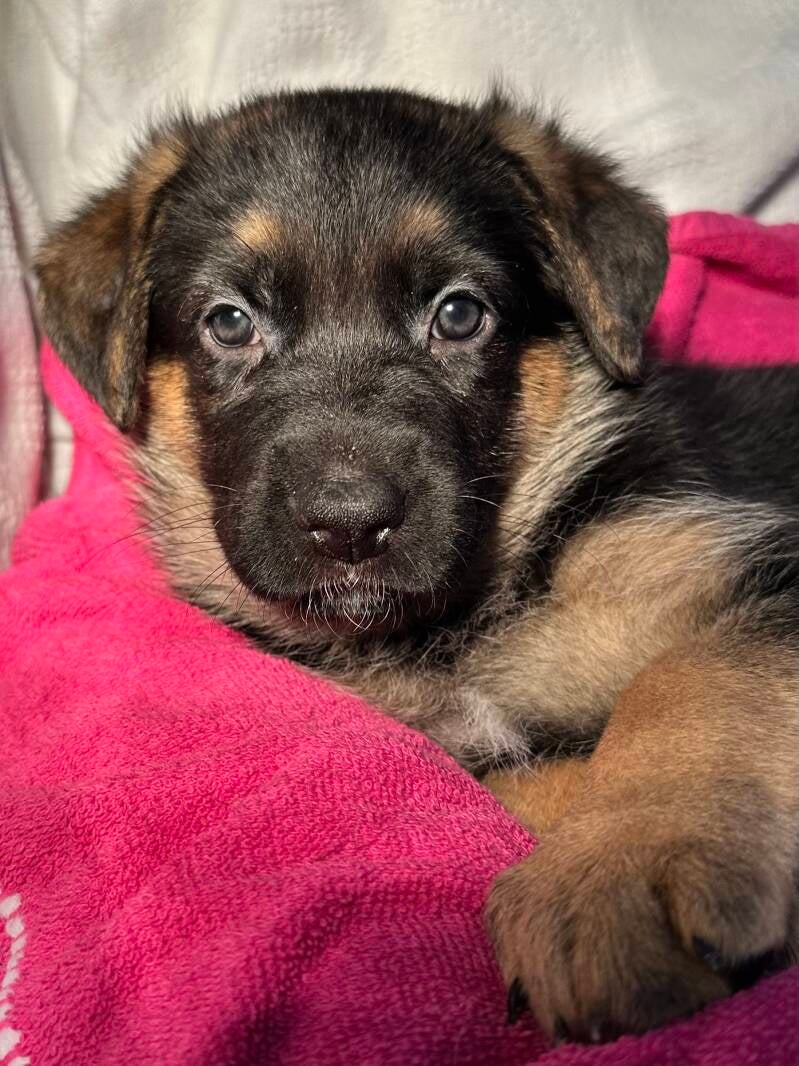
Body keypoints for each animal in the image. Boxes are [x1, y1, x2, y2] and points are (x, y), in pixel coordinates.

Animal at [35, 88, 799, 1044]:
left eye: (458, 314)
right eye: (230, 322)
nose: (350, 525)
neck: (461, 625)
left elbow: (693, 678)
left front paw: (625, 865)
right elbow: (528, 777)